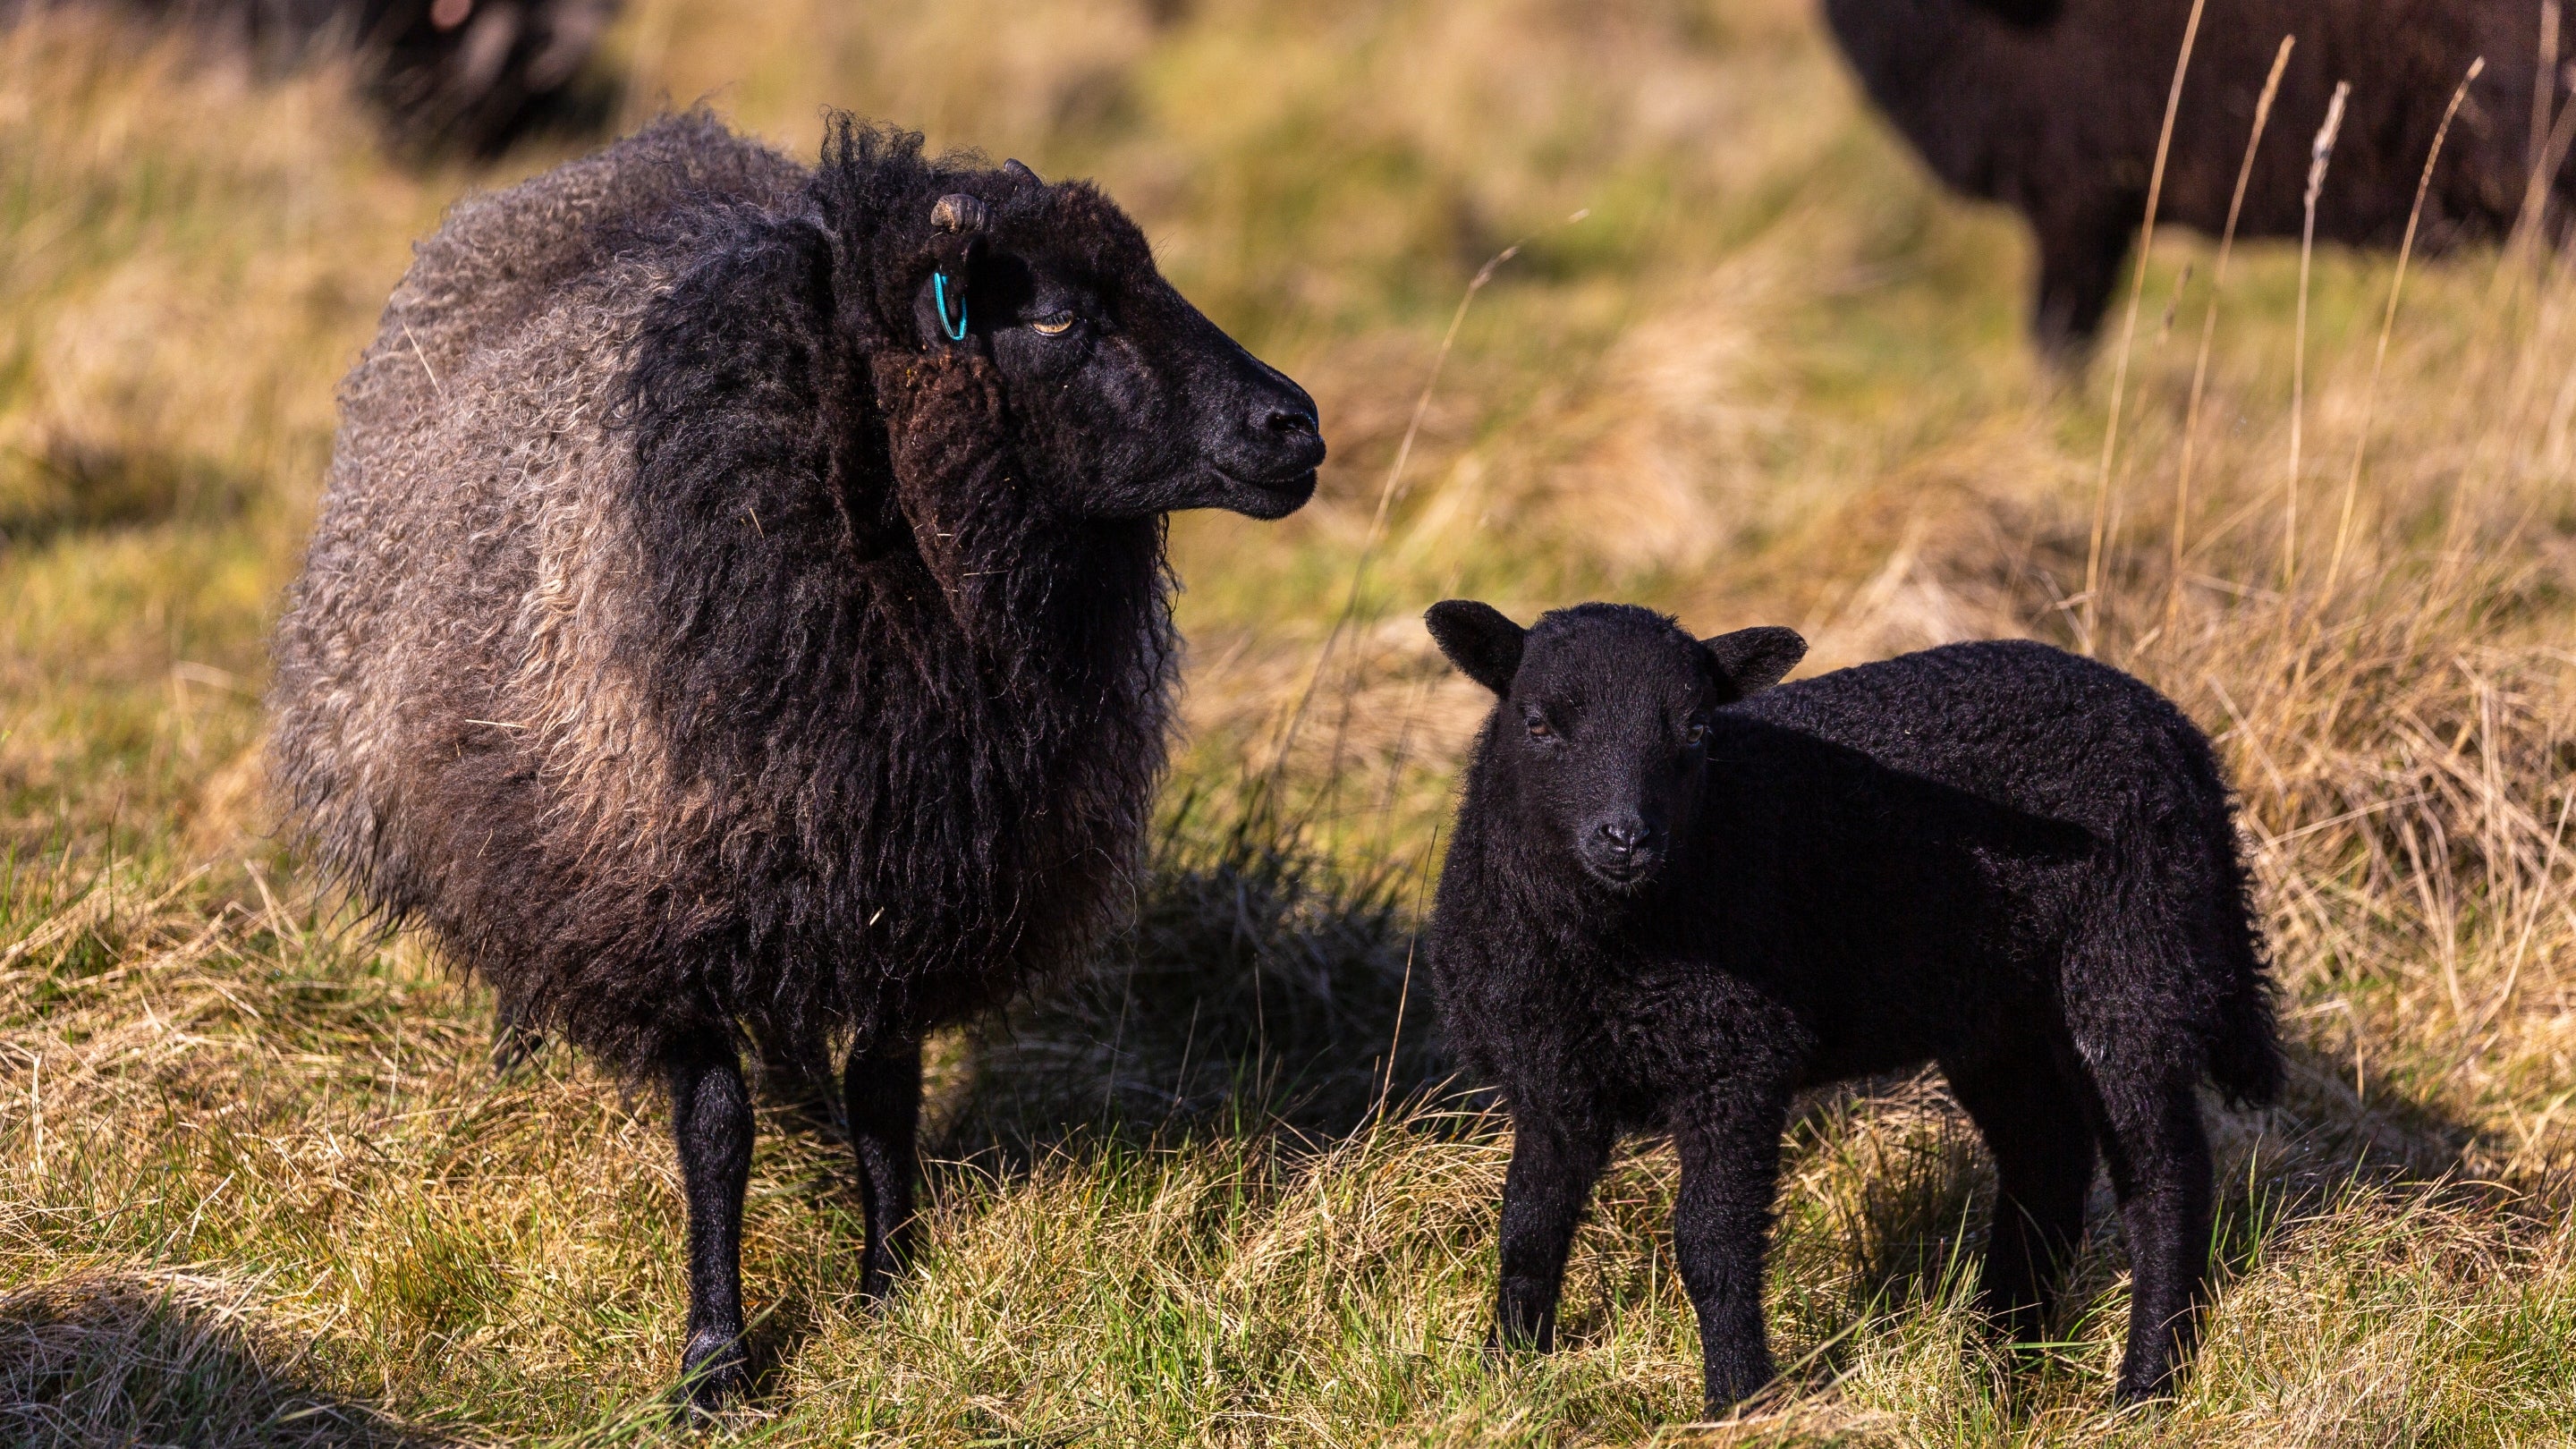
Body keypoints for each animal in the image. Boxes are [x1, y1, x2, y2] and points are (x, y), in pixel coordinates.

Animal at [266, 112, 1325, 1406]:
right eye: (1056, 317)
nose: (1295, 425)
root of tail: (636, 148)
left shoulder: (914, 882)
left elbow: (886, 1097)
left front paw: (890, 1289)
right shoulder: (662, 893)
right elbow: (716, 1132)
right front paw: (715, 1357)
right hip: (523, 811)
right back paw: (518, 1074)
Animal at [1420, 601, 2282, 1414]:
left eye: (1697, 728)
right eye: (1538, 723)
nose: (1626, 838)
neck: (1609, 946)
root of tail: (2175, 729)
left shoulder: (1734, 1059)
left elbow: (1712, 1245)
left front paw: (1738, 1400)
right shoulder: (1548, 1076)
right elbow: (1528, 1230)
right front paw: (1507, 1375)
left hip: (2131, 959)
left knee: (2163, 1178)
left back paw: (2144, 1387)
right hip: (1996, 1012)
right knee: (2046, 1157)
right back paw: (1994, 1357)